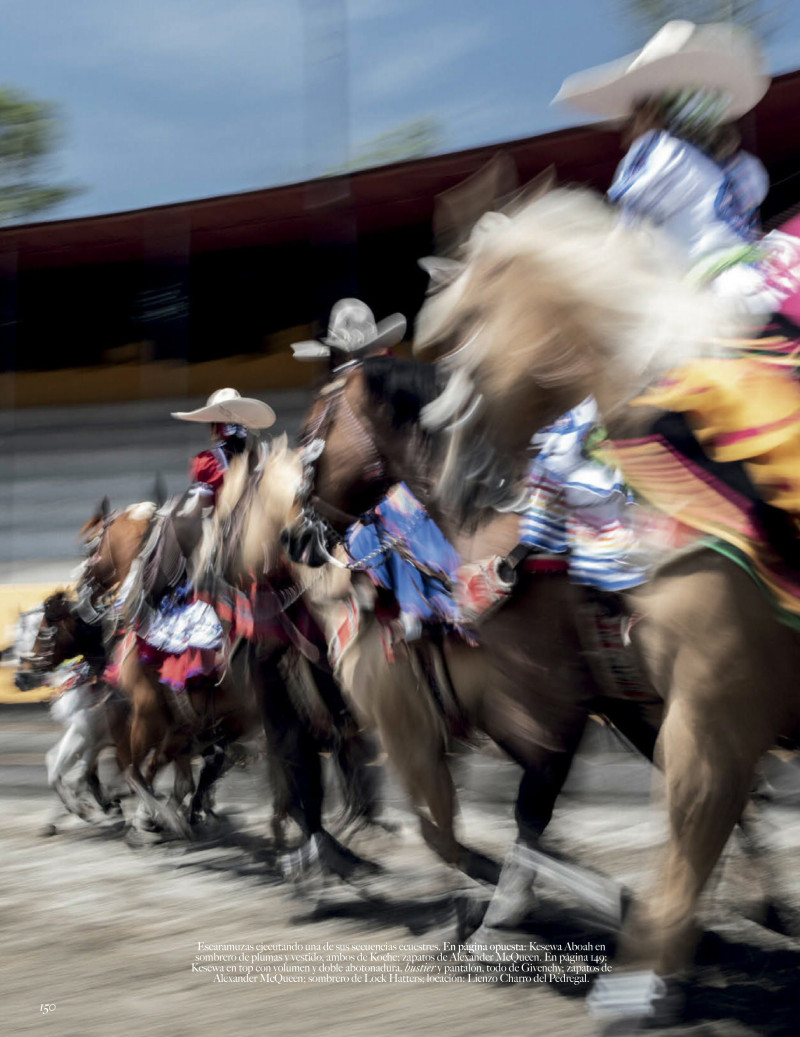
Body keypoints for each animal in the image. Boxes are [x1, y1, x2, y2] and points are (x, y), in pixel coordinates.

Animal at [412, 186, 800, 1020]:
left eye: (464, 328)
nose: (451, 480)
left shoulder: (712, 708)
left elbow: (688, 827)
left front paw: (637, 979)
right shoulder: (662, 706)